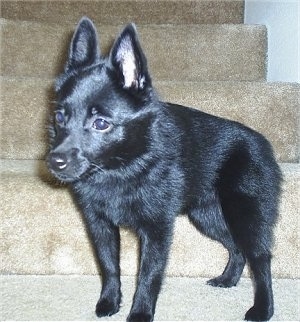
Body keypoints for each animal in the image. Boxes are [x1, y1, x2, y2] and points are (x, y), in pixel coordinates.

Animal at [47, 18, 282, 322]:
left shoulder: (157, 230)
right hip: (206, 216)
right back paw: (227, 280)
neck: (123, 167)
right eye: (59, 116)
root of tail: (264, 143)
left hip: (245, 215)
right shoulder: (100, 225)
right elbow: (109, 266)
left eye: (101, 123)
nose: (54, 161)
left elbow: (148, 275)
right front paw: (109, 302)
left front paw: (140, 313)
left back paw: (263, 308)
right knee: (236, 248)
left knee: (260, 258)